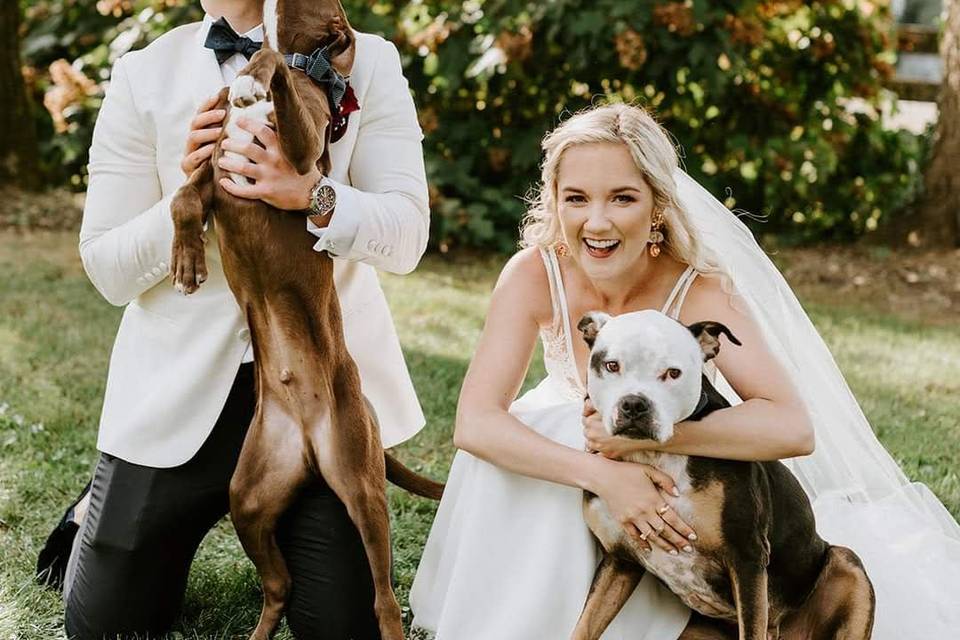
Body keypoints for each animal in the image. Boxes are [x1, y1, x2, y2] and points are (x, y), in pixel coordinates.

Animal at [168, 2, 442, 636]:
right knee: (281, 585)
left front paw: (256, 76)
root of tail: (309, 441)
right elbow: (183, 198)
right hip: (249, 496)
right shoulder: (215, 167)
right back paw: (259, 630)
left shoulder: (296, 149)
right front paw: (188, 259)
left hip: (361, 487)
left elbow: (272, 68)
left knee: (382, 596)